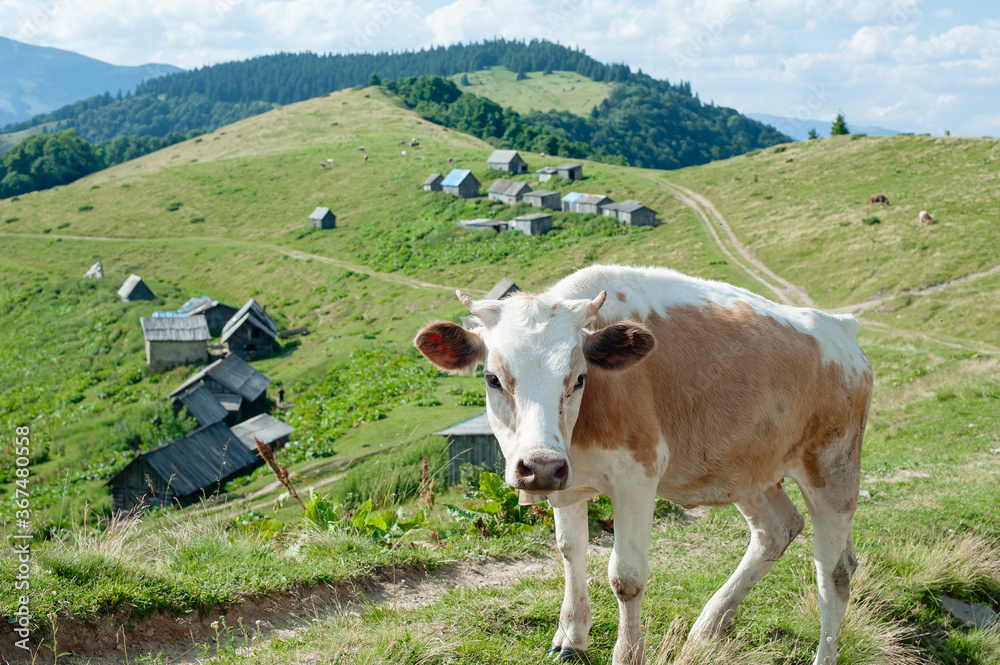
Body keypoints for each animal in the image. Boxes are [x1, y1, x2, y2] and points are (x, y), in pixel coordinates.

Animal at [412, 264, 868, 664]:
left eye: (578, 379)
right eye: (492, 379)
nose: (539, 466)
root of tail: (841, 327)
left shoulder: (636, 476)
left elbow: (626, 578)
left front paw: (627, 653)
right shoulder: (568, 481)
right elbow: (570, 551)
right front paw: (571, 639)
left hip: (833, 468)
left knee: (835, 572)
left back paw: (822, 653)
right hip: (747, 469)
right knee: (777, 530)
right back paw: (707, 626)